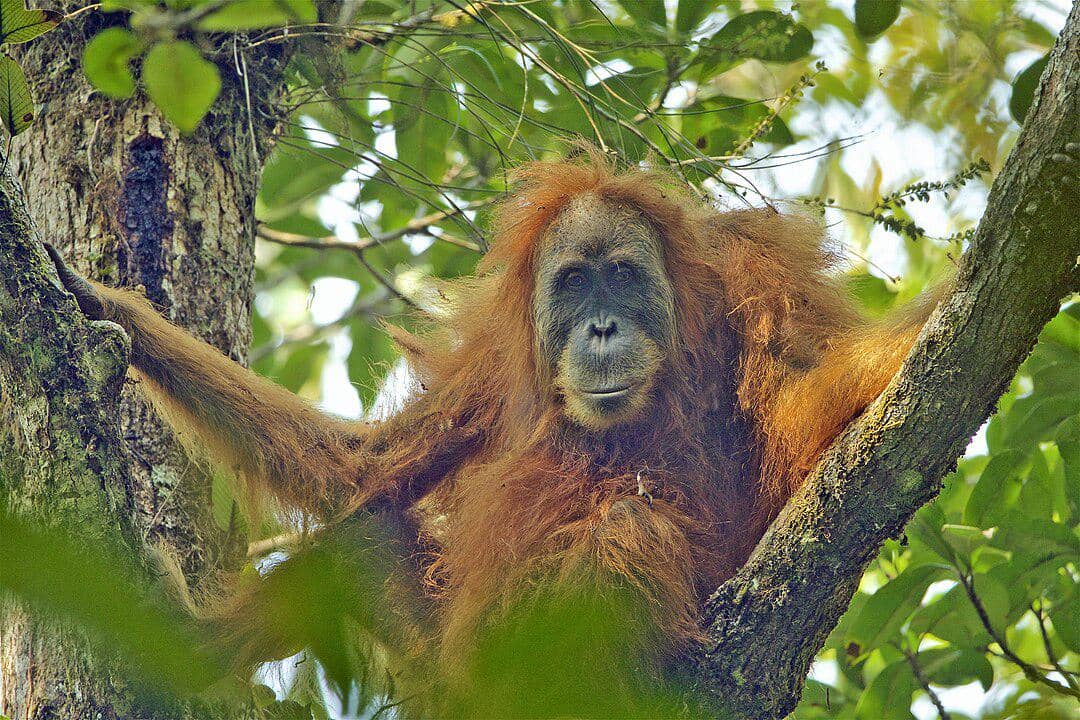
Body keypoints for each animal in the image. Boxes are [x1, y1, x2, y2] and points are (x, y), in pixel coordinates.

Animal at [44, 150, 942, 714]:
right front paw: (115, 309)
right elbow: (367, 467)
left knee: (630, 521)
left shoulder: (760, 279)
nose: (603, 328)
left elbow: (806, 406)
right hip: (447, 670)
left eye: (623, 276)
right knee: (363, 540)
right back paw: (189, 644)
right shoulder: (493, 365)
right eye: (574, 283)